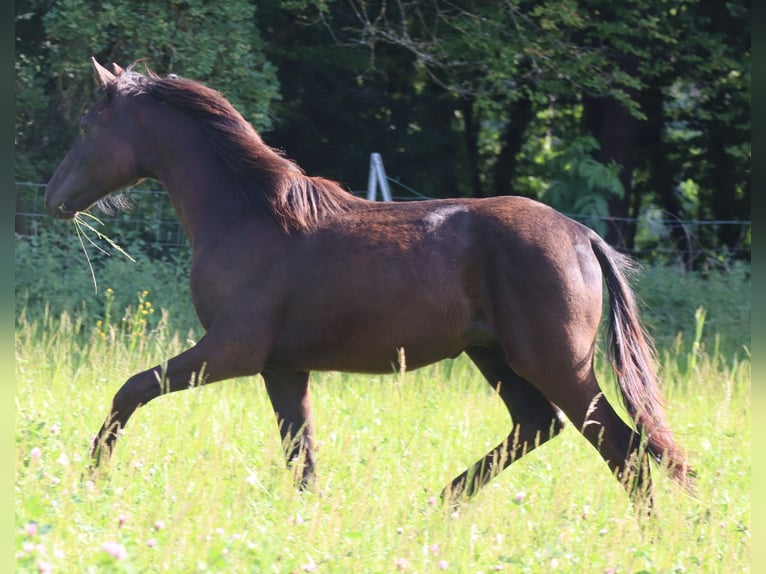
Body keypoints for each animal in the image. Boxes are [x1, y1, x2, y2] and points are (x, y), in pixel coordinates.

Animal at [45, 59, 694, 508]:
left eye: (86, 125)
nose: (54, 198)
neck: (248, 215)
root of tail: (584, 234)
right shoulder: (282, 367)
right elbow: (301, 458)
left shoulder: (231, 351)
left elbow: (131, 389)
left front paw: (90, 477)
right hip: (495, 356)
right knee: (540, 426)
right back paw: (435, 505)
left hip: (555, 362)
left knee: (624, 450)